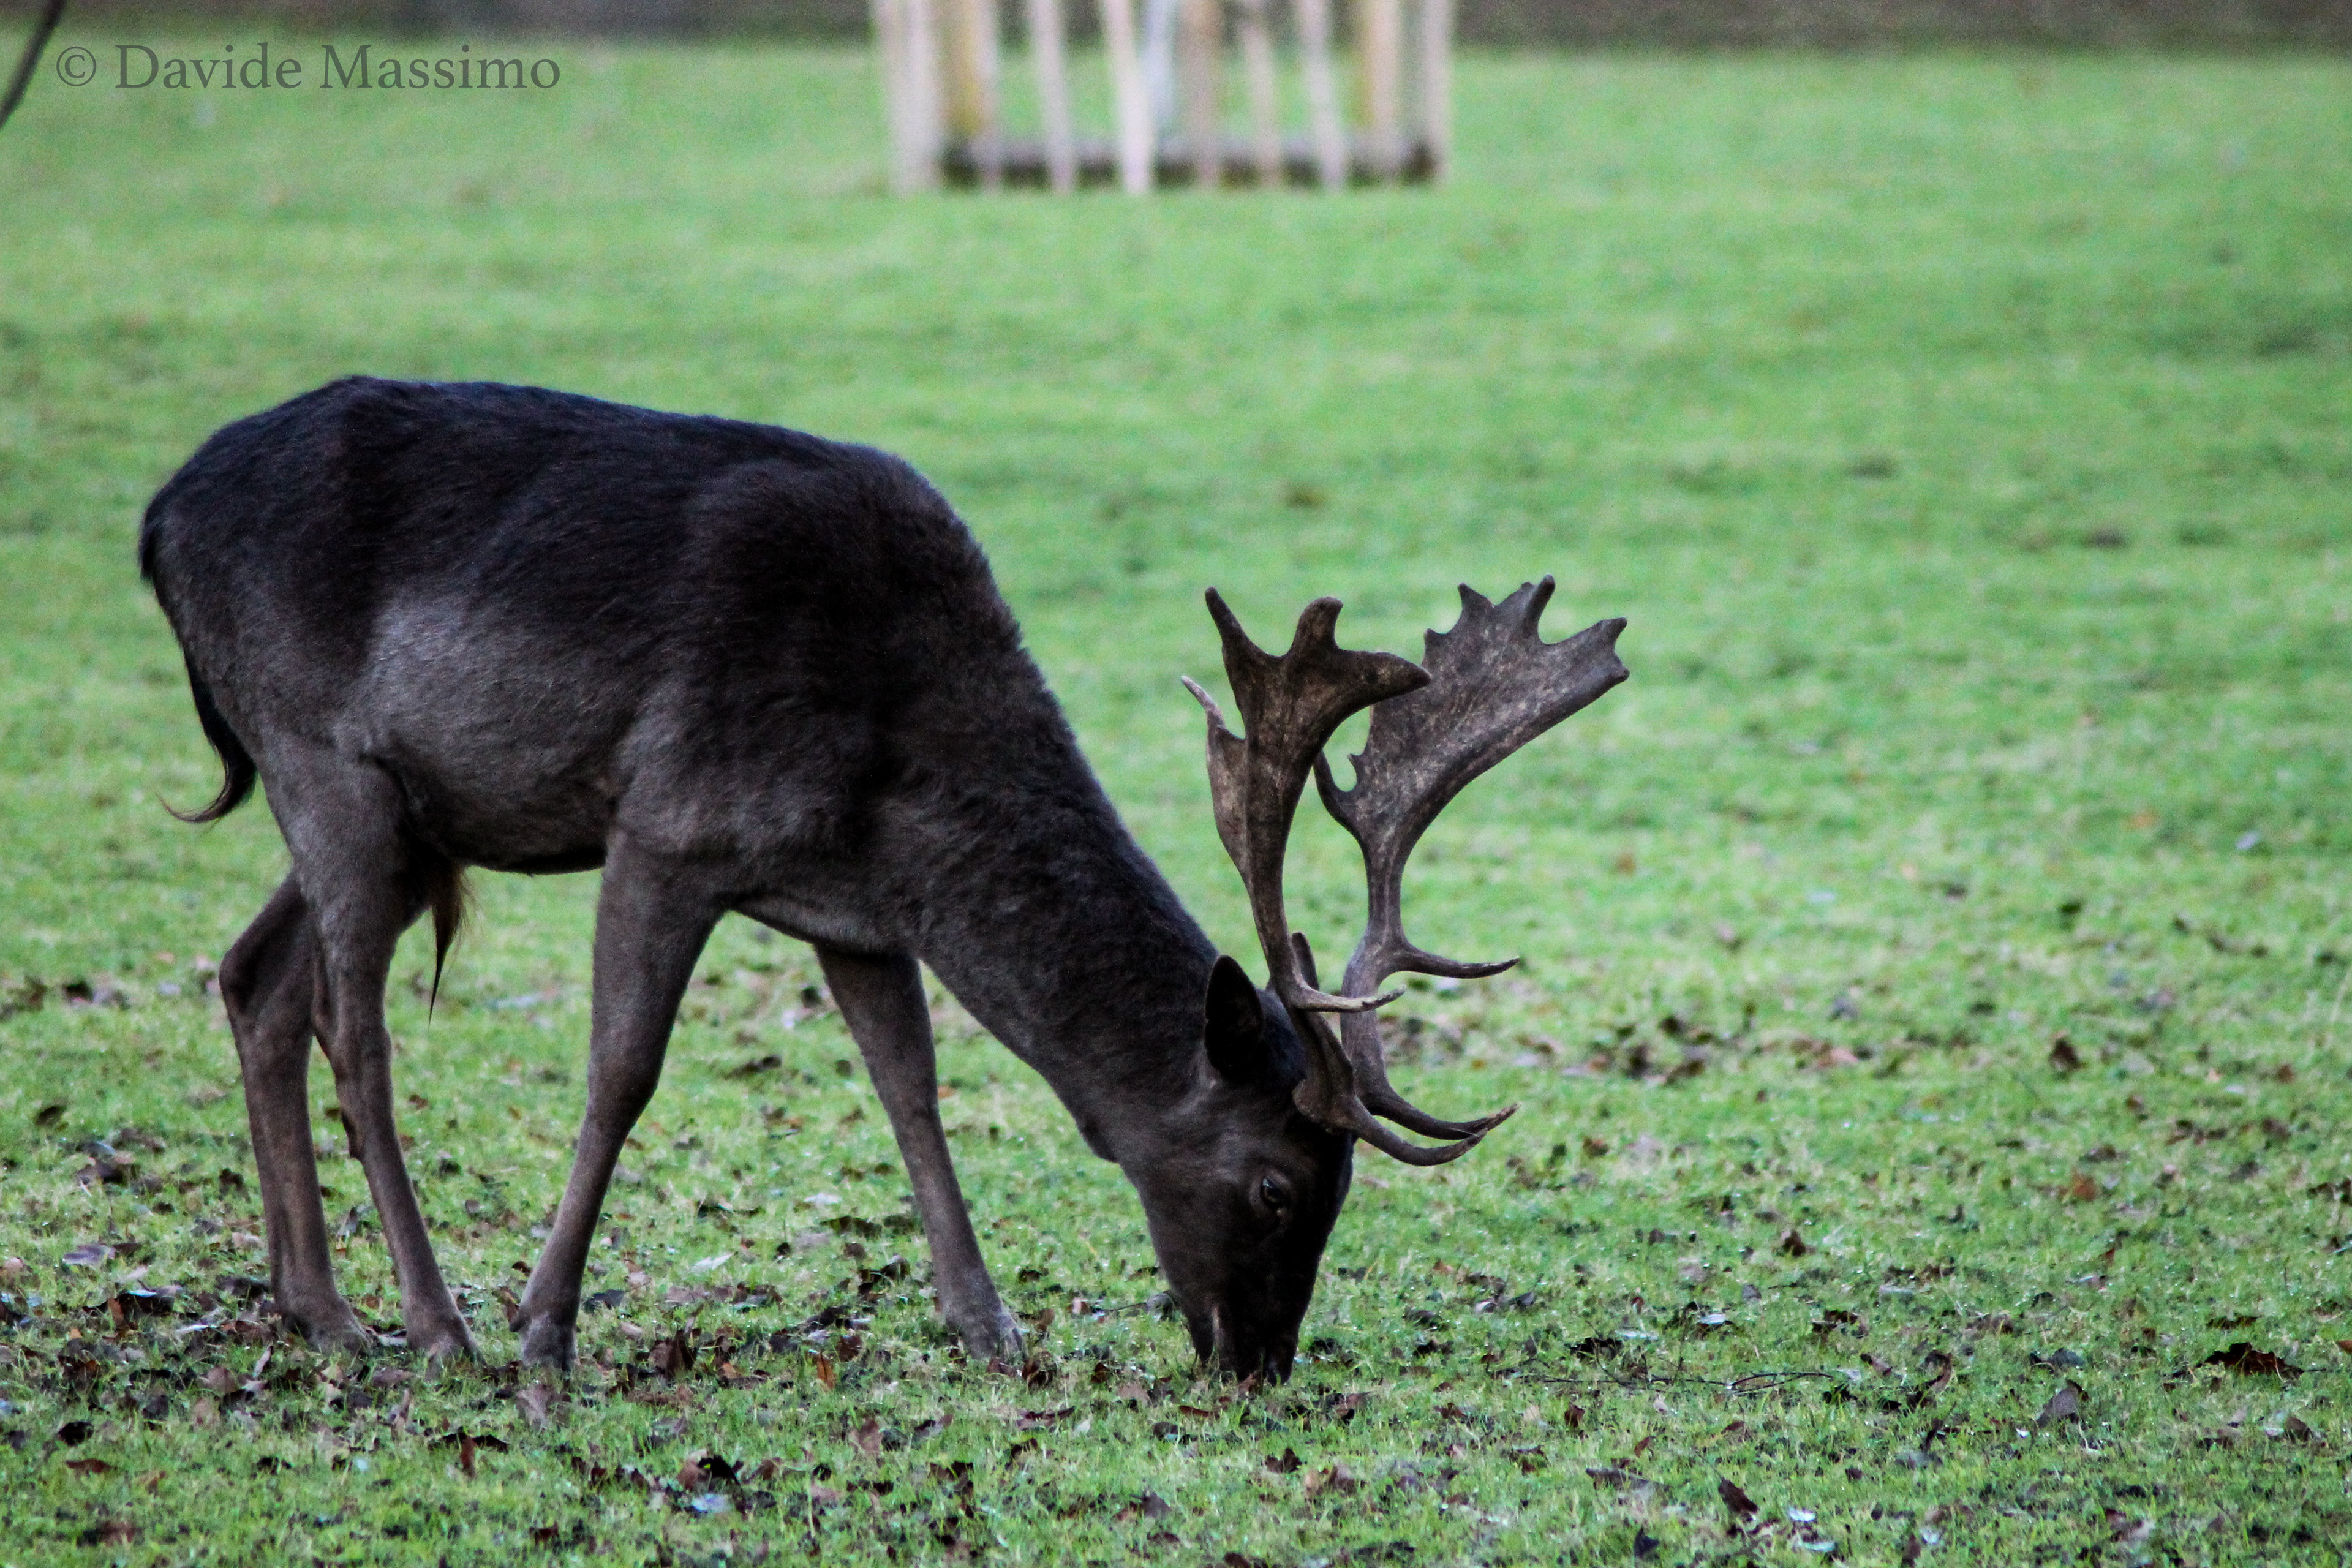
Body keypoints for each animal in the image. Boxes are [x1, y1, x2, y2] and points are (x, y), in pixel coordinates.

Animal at [139, 376, 1628, 1379]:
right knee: (354, 1027)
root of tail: (156, 520)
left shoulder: (852, 906)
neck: (897, 768)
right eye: (1275, 1186)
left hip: (402, 811)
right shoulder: (670, 821)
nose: (1257, 1361)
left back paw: (319, 1310)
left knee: (256, 977)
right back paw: (436, 1323)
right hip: (321, 756)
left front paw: (988, 1324)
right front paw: (546, 1330)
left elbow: (911, 1086)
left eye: (1343, 1192)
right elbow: (622, 1074)